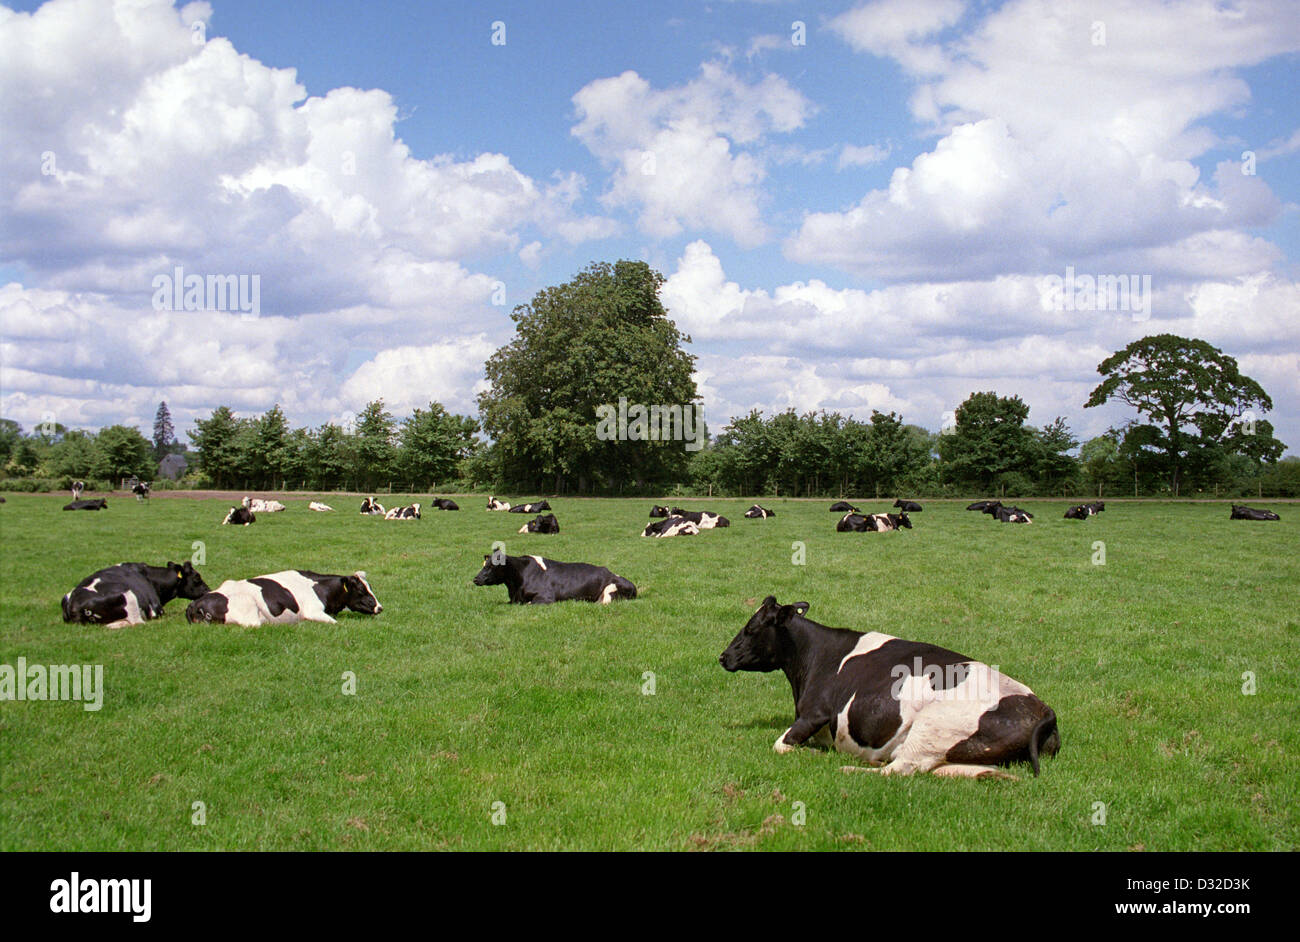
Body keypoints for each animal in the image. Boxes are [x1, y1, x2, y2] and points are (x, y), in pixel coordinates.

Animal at [62, 561, 210, 628]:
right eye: (197, 577)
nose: (208, 590)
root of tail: (74, 603)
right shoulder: (157, 609)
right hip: (129, 597)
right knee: (136, 622)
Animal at [186, 570, 382, 626]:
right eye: (361, 590)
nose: (379, 607)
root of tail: (196, 603)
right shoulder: (313, 610)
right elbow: (336, 623)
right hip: (248, 610)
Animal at [719, 596, 1060, 779]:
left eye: (751, 628)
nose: (723, 656)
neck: (814, 657)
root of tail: (1044, 710)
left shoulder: (815, 713)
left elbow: (780, 744)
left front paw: (813, 754)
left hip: (931, 727)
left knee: (898, 769)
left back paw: (852, 768)